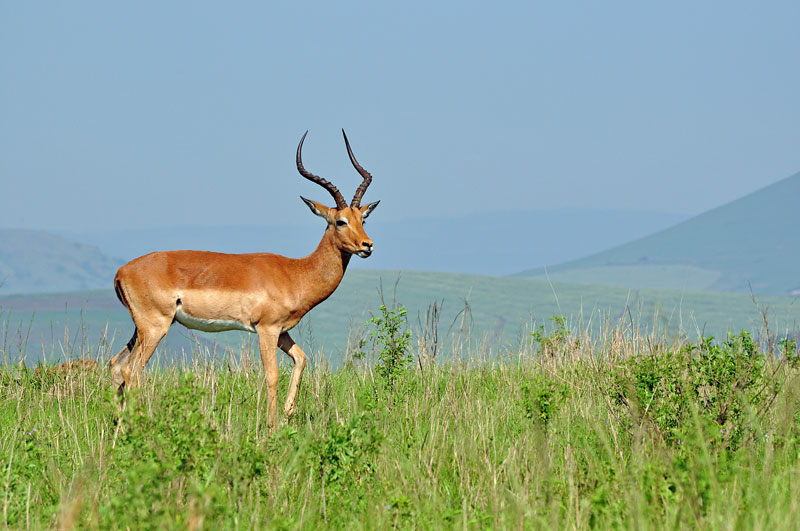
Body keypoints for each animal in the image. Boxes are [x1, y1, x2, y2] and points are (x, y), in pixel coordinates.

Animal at [109, 130, 379, 429]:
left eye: (363, 218)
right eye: (340, 221)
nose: (367, 245)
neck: (296, 273)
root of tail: (122, 271)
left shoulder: (282, 331)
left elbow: (301, 360)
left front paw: (287, 415)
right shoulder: (266, 329)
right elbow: (272, 375)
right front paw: (271, 427)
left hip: (141, 329)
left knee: (117, 366)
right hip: (156, 327)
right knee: (132, 371)